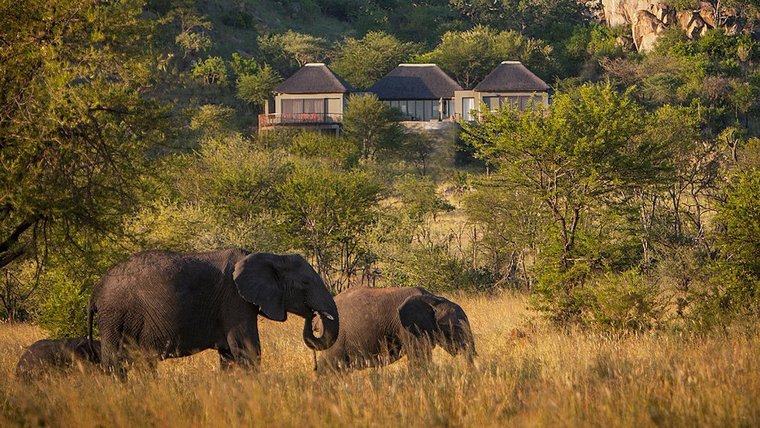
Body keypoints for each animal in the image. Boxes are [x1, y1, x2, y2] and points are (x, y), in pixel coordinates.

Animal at [89, 247, 338, 374]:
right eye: (305, 283)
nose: (313, 315)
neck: (271, 256)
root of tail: (97, 289)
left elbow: (229, 355)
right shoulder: (234, 300)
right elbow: (248, 350)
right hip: (115, 316)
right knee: (115, 361)